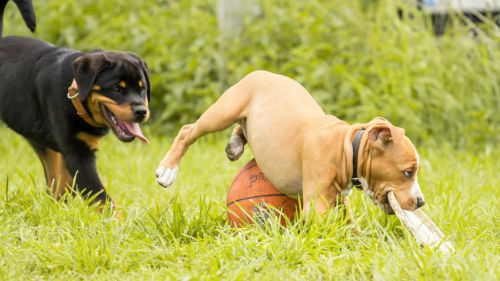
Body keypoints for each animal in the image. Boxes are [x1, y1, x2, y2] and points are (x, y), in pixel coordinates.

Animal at [0, 0, 151, 217]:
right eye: (116, 89)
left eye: (142, 88)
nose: (141, 112)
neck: (75, 97)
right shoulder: (77, 153)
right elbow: (102, 197)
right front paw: (119, 223)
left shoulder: (71, 150)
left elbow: (67, 186)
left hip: (45, 146)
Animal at [156, 70, 426, 219]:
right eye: (408, 172)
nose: (421, 202)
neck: (347, 147)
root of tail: (263, 72)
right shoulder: (318, 205)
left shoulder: (339, 197)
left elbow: (348, 222)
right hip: (222, 112)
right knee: (187, 131)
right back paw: (168, 170)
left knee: (242, 130)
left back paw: (235, 145)